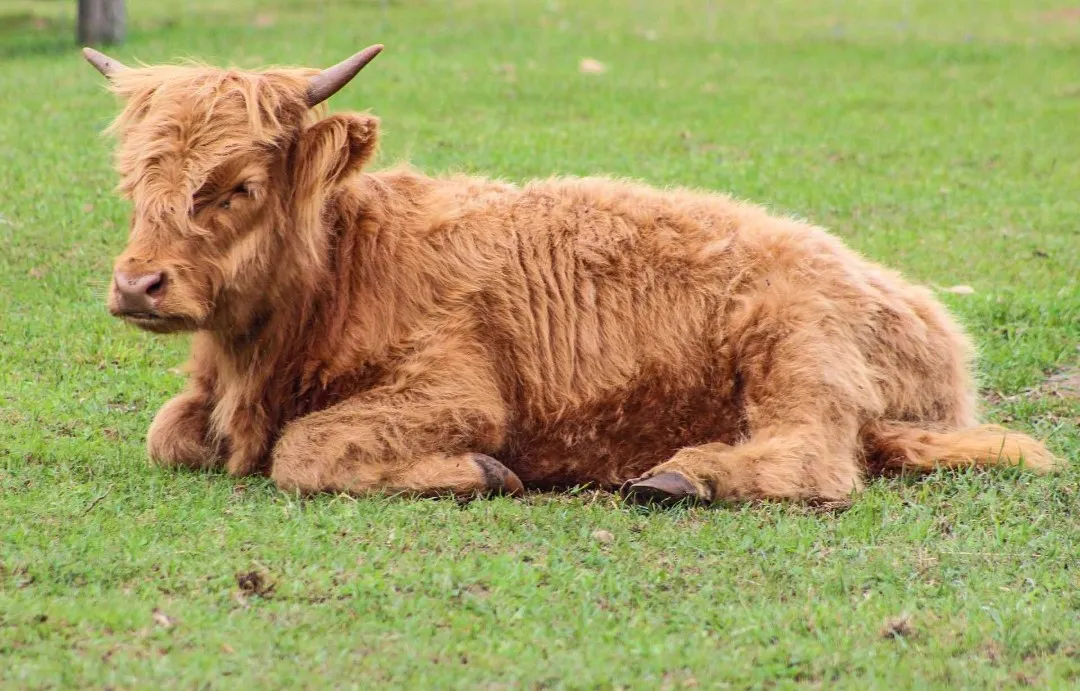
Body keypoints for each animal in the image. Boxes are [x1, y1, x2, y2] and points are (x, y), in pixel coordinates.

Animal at [81, 45, 1058, 505]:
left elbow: (306, 450)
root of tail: (931, 319)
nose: (138, 286)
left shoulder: (456, 391)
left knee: (817, 456)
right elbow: (169, 433)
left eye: (236, 186)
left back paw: (680, 477)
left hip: (796, 349)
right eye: (133, 180)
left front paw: (484, 472)